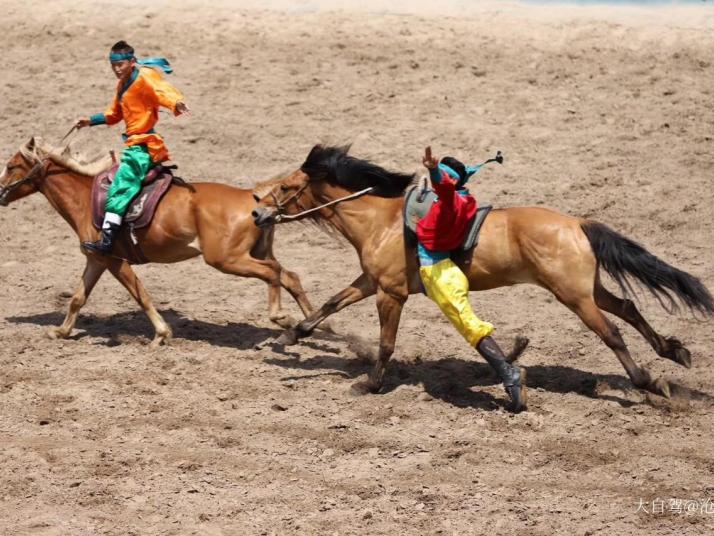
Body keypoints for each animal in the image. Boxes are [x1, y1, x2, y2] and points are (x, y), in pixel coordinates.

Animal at [0, 138, 318, 346]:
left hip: (227, 259)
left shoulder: (114, 260)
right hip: (257, 253)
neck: (86, 196)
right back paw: (314, 323)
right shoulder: (97, 259)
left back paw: (281, 317)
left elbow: (141, 295)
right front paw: (61, 332)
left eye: (11, 166)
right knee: (289, 276)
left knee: (272, 273)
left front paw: (162, 334)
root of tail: (252, 198)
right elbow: (79, 297)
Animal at [252, 144, 712, 404]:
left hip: (574, 296)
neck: (380, 221)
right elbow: (331, 304)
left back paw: (647, 382)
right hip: (589, 289)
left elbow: (385, 344)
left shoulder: (391, 293)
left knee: (612, 332)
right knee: (628, 307)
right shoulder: (372, 281)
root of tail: (578, 223)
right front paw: (289, 336)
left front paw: (369, 385)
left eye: (287, 187)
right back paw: (674, 352)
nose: (257, 213)